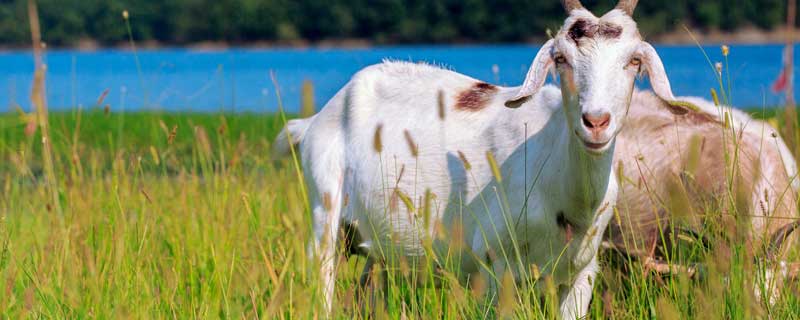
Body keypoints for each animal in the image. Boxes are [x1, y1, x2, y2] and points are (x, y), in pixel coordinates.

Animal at [272, 0, 692, 318]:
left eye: (634, 61)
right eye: (561, 59)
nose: (596, 122)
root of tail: (317, 118)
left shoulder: (581, 273)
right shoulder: (494, 266)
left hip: (380, 247)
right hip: (324, 213)